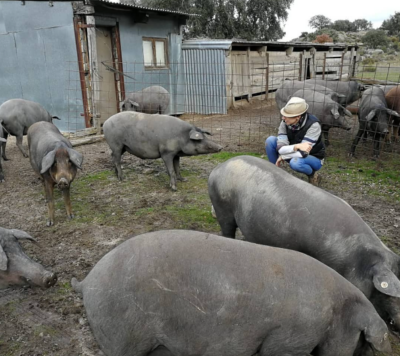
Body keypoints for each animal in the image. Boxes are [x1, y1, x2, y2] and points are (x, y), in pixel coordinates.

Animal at [211, 154, 400, 336]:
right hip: (222, 207)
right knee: (227, 230)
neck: (356, 258)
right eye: (389, 295)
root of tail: (219, 167)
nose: (398, 325)